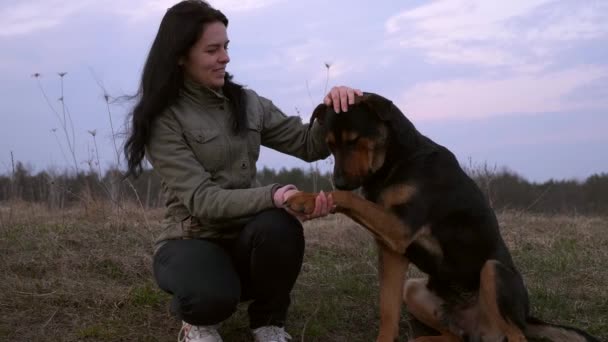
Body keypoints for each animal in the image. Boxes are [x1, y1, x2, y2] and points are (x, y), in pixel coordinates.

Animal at [284, 92, 600, 340]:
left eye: (354, 141)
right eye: (330, 145)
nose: (338, 181)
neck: (397, 160)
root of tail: (527, 317)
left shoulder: (400, 226)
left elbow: (349, 199)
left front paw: (306, 199)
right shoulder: (392, 249)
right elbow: (388, 311)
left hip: (493, 271)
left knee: (515, 335)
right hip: (414, 289)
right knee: (455, 336)